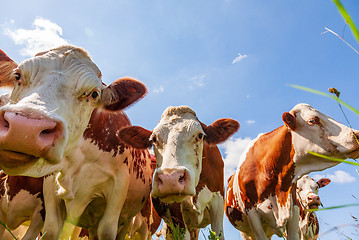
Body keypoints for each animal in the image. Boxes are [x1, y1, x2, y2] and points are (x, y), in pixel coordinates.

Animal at [0, 46, 153, 239]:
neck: (77, 160)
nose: (25, 129)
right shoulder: (50, 186)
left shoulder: (118, 185)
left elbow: (107, 230)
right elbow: (51, 229)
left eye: (94, 94)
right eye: (17, 76)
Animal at [225, 103, 359, 240]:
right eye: (312, 120)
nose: (356, 135)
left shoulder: (293, 208)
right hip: (246, 232)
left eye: (317, 187)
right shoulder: (251, 213)